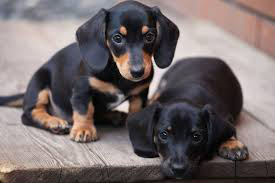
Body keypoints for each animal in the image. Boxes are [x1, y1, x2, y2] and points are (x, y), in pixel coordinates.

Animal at [0, 0, 179, 142]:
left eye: (149, 36)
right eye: (117, 38)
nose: (138, 72)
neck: (117, 74)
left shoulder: (140, 94)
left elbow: (136, 110)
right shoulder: (82, 89)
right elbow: (85, 110)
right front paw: (83, 130)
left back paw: (114, 115)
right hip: (40, 82)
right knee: (30, 113)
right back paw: (54, 122)